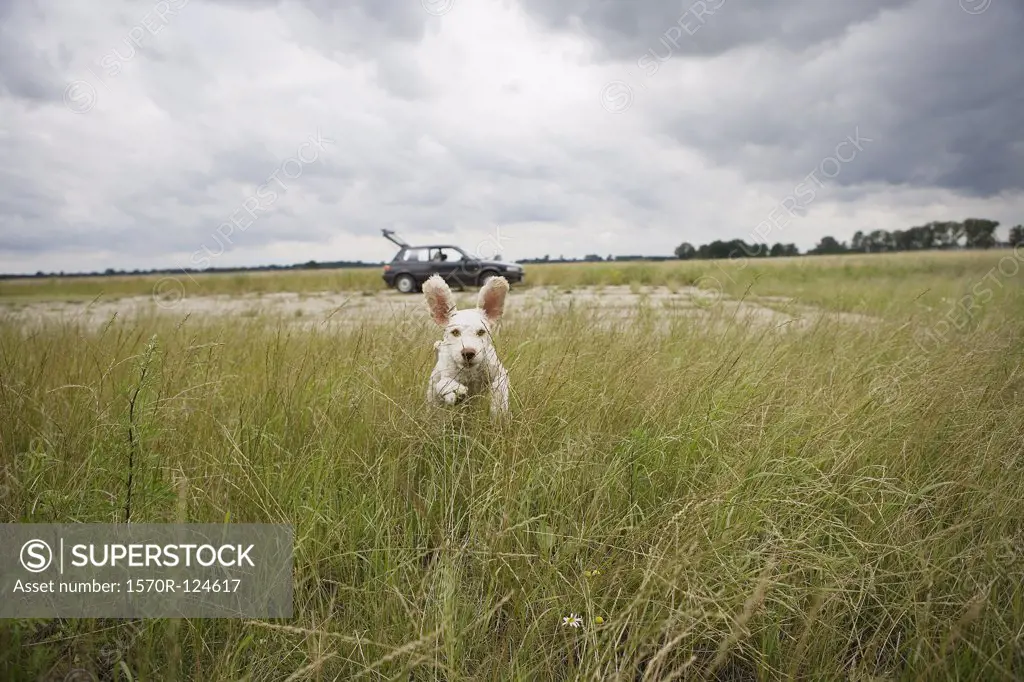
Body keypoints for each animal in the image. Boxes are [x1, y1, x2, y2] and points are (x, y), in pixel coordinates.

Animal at [419, 274, 507, 413]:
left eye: (481, 332)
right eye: (455, 332)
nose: (468, 353)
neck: (470, 372)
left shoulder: (500, 373)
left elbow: (500, 391)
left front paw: (498, 411)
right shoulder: (443, 377)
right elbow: (444, 383)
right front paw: (456, 391)